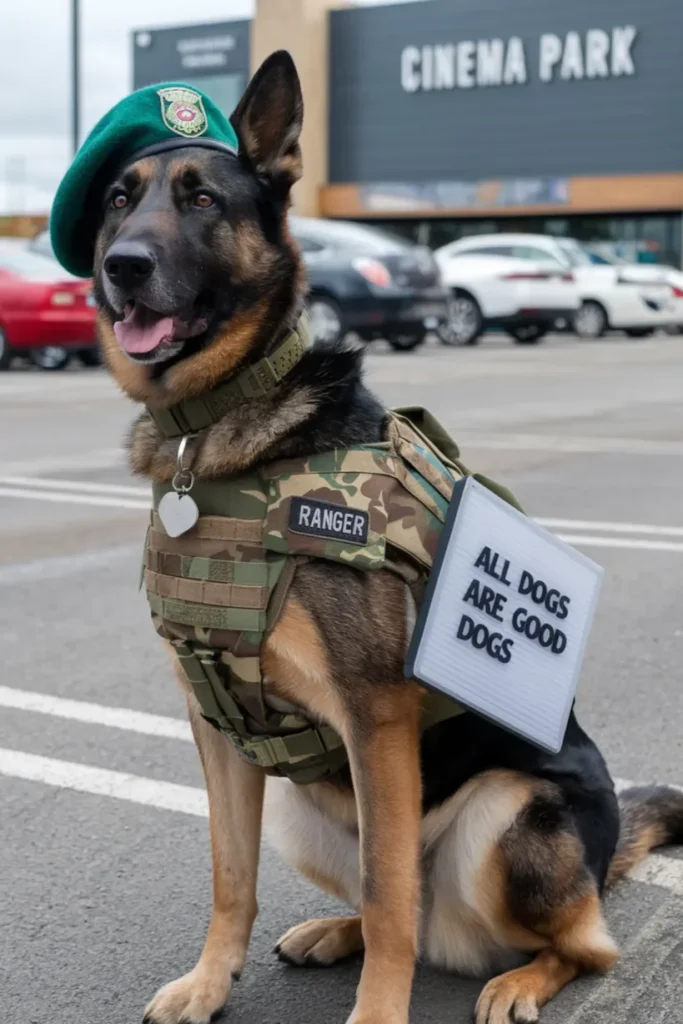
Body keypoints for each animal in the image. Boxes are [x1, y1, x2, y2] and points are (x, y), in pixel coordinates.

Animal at [92, 54, 683, 1024]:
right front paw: (210, 983)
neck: (214, 429)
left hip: (507, 811)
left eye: (202, 199)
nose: (120, 267)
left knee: (576, 944)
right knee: (398, 905)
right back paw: (332, 934)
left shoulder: (375, 716)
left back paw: (518, 979)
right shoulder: (214, 725)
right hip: (306, 812)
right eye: (116, 198)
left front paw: (374, 1014)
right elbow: (230, 874)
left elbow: (383, 886)